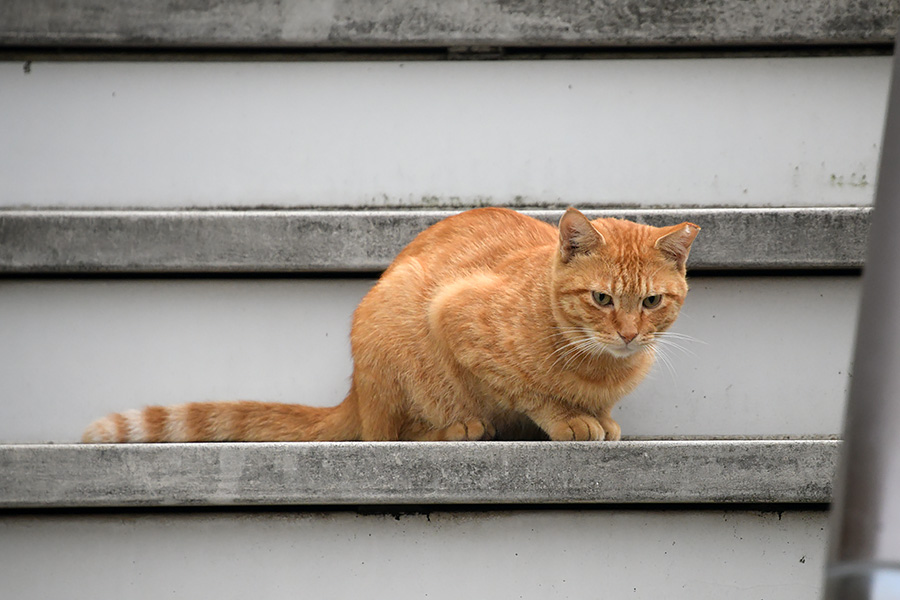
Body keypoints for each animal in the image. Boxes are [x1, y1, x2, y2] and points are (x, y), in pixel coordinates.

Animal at [84, 209, 700, 442]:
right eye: (601, 298)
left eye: (650, 302)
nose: (628, 335)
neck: (596, 368)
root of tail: (355, 391)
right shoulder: (454, 315)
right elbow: (529, 391)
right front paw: (569, 418)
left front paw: (600, 417)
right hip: (395, 328)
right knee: (389, 431)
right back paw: (458, 429)